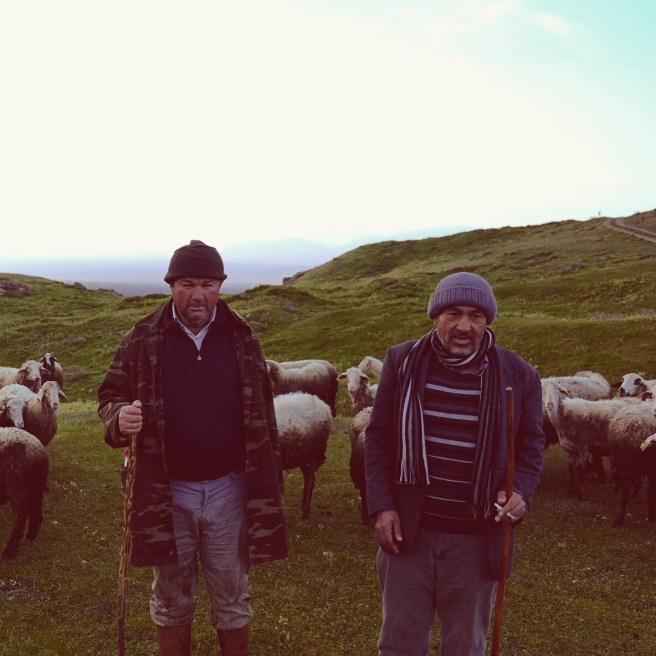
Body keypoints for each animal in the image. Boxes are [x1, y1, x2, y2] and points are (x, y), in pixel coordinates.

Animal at [0, 427, 49, 559]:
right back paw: (31, 538)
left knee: (20, 519)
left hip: (18, 487)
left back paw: (8, 552)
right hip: (35, 488)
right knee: (36, 514)